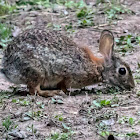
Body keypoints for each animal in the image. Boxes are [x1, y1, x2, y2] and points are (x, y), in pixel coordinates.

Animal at [0, 28, 135, 96]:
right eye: (122, 71)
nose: (132, 86)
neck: (98, 68)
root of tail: (7, 68)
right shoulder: (67, 74)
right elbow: (63, 84)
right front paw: (66, 91)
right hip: (37, 71)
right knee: (34, 90)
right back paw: (54, 93)